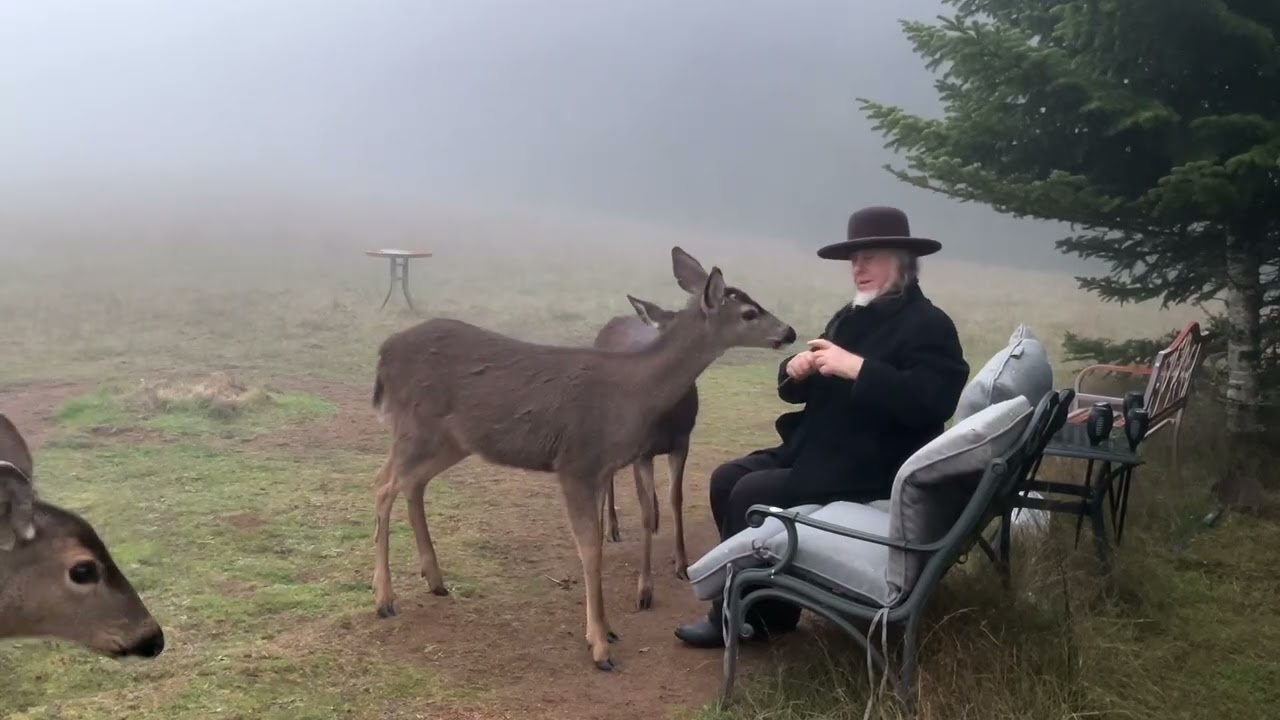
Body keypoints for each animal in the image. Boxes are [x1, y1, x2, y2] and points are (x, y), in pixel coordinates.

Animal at [592, 296, 697, 611]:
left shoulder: (682, 441)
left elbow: (676, 498)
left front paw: (682, 564)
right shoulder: (643, 452)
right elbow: (644, 512)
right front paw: (645, 590)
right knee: (608, 475)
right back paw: (609, 529)